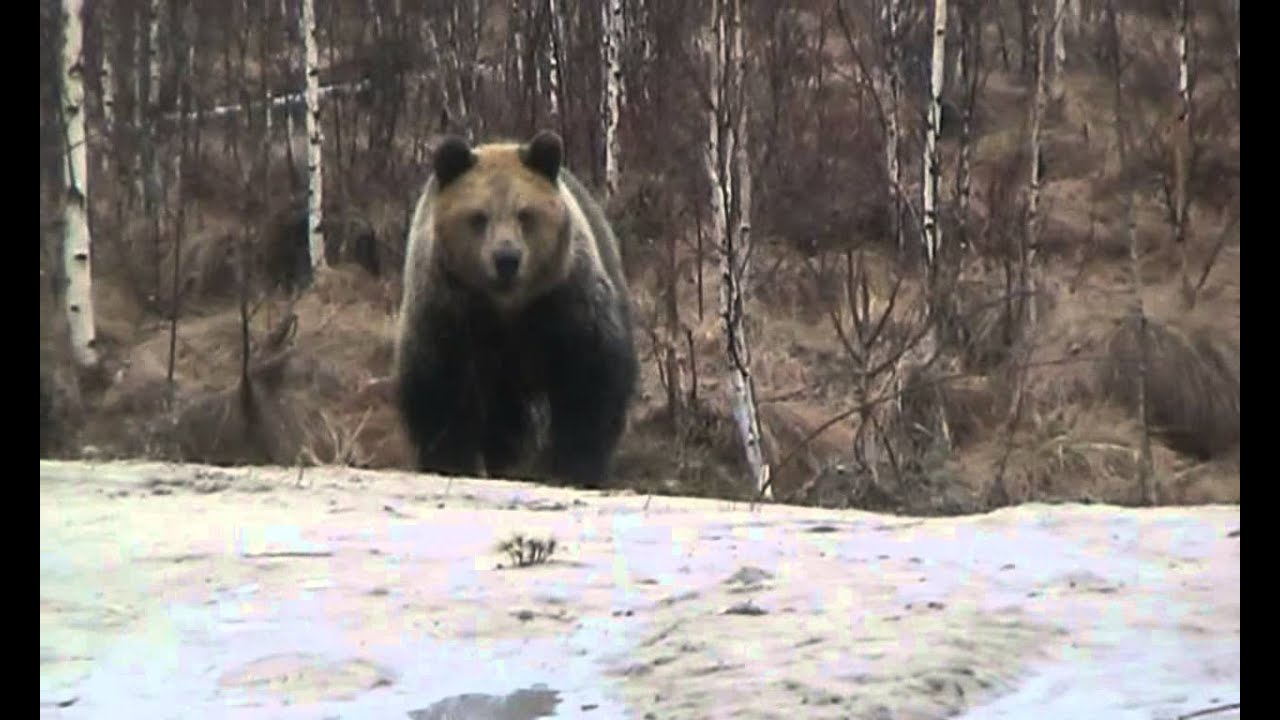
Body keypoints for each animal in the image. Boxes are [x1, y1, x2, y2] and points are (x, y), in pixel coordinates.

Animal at [392, 130, 638, 489]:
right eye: (478, 216)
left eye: (525, 214)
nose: (506, 258)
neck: (506, 307)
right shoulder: (448, 312)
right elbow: (440, 387)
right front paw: (450, 460)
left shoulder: (563, 301)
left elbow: (589, 379)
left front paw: (576, 466)